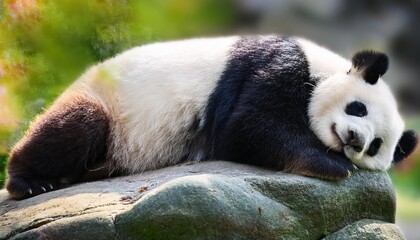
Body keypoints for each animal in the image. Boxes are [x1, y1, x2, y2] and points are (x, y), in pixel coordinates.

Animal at [4, 35, 416, 199]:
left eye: (377, 146)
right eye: (358, 108)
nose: (355, 140)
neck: (322, 68)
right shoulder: (276, 66)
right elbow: (246, 126)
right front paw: (327, 163)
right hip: (106, 100)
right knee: (78, 124)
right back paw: (29, 182)